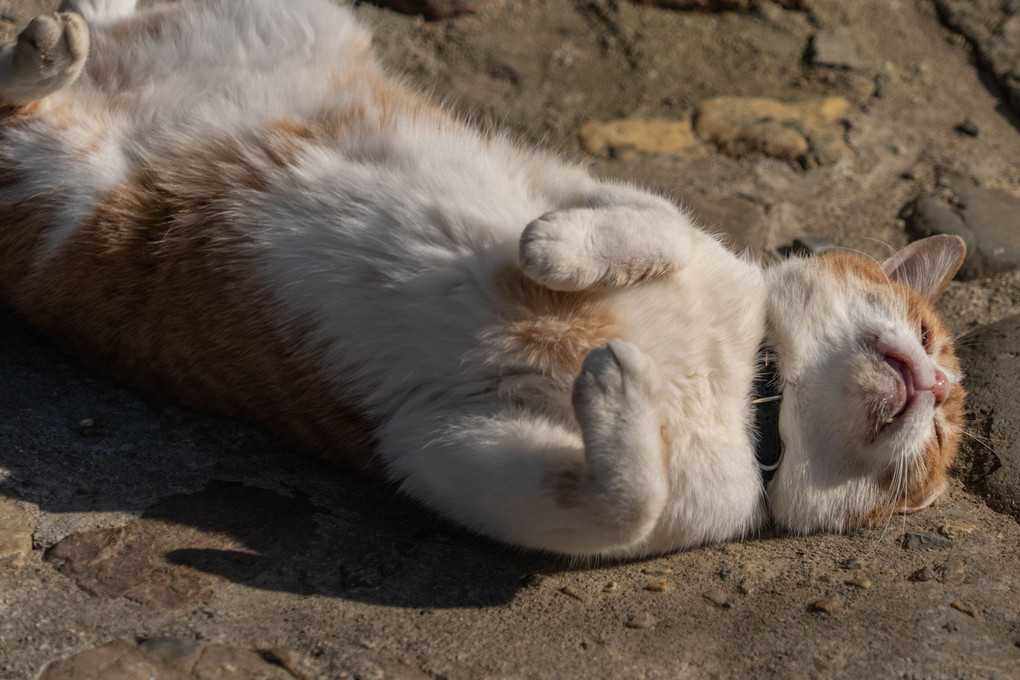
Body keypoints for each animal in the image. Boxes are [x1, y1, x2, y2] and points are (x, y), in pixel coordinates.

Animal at [0, 0, 966, 558]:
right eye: (927, 333)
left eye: (941, 440)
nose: (938, 382)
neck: (745, 391)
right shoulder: (596, 189)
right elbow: (644, 222)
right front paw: (554, 251)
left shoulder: (445, 448)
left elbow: (625, 498)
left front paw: (615, 387)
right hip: (296, 12)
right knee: (110, 20)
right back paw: (60, 34)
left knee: (22, 95)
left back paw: (53, 47)